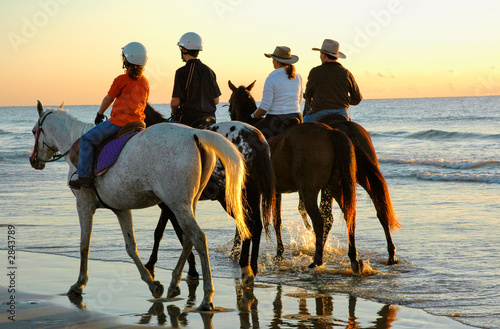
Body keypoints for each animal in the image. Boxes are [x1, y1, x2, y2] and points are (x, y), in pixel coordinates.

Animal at [29, 100, 250, 310]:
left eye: (33, 131)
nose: (33, 161)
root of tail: (195, 134)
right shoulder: (121, 208)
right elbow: (131, 247)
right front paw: (152, 283)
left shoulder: (83, 203)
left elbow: (85, 244)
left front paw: (79, 283)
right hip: (187, 204)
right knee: (189, 239)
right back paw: (174, 283)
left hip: (177, 204)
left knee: (198, 238)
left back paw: (206, 297)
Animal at [229, 80, 400, 268]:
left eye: (229, 102)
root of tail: (331, 131)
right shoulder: (274, 191)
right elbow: (276, 220)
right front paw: (278, 253)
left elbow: (254, 220)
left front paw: (238, 251)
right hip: (340, 184)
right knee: (363, 211)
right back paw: (370, 256)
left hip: (312, 190)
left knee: (322, 220)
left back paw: (318, 258)